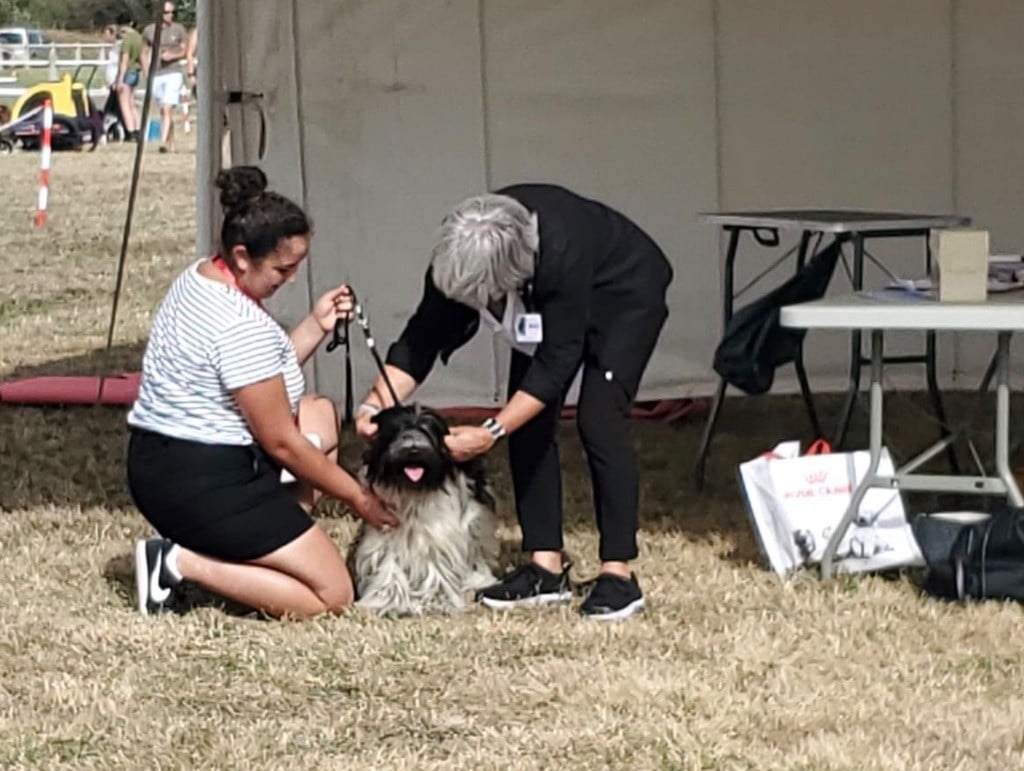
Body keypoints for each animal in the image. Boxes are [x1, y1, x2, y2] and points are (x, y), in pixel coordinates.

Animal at [348, 403, 499, 614]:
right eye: (398, 430)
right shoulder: (385, 533)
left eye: (427, 431)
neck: (412, 491)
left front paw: (437, 599)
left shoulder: (438, 536)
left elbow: (437, 567)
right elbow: (389, 567)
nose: (414, 448)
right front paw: (387, 600)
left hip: (476, 521)